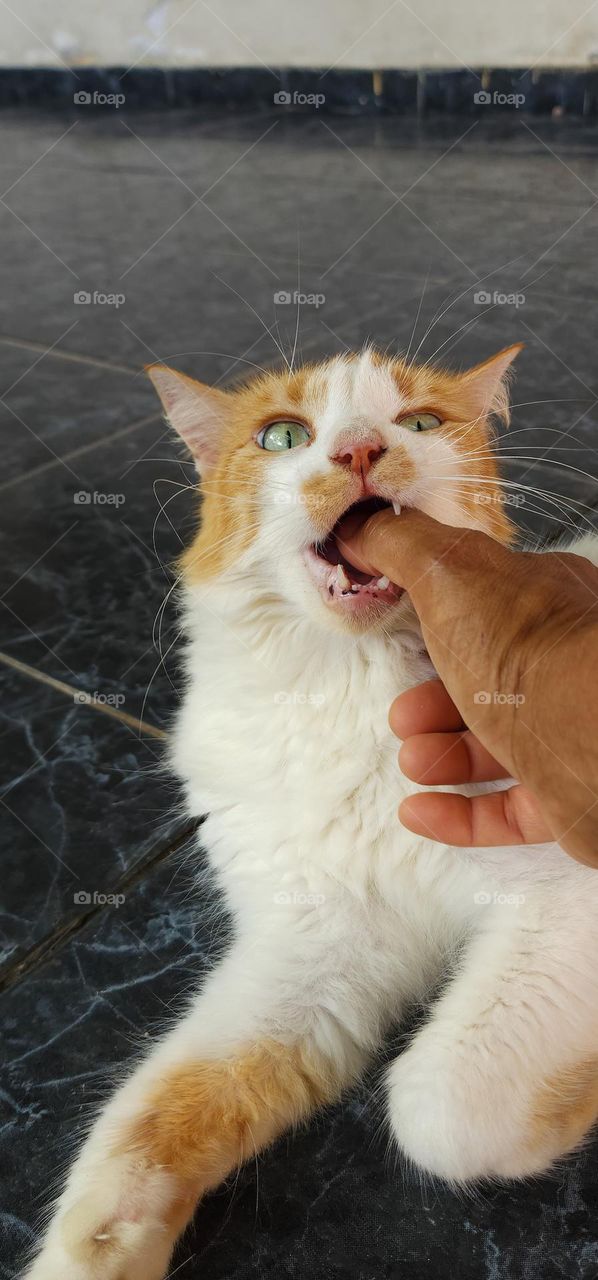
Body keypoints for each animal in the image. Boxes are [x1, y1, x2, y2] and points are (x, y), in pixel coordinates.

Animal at [24, 348, 598, 1280]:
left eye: (420, 423)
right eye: (282, 437)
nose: (360, 450)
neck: (349, 693)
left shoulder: (566, 901)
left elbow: (439, 1110)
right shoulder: (311, 956)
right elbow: (161, 1105)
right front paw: (97, 1246)